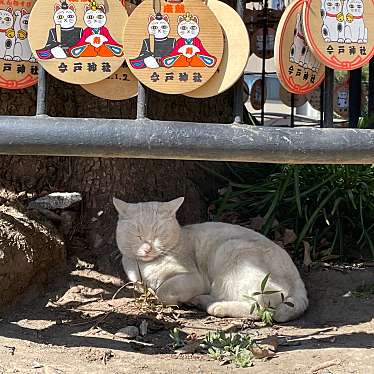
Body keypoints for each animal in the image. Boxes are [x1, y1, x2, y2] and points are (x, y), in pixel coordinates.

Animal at [114, 196, 310, 322]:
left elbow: (163, 291)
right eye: (138, 234)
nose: (148, 248)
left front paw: (174, 298)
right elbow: (144, 288)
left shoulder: (194, 278)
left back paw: (210, 304)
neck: (144, 267)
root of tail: (298, 279)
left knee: (260, 308)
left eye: (158, 233)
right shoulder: (136, 280)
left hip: (230, 251)